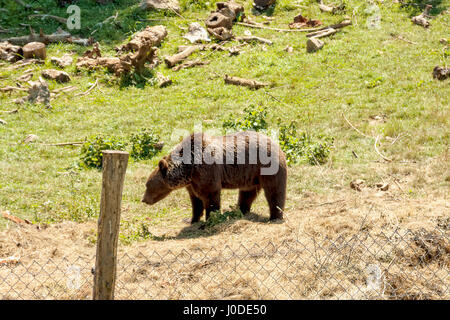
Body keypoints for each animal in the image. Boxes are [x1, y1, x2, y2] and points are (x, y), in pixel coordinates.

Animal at [142, 130, 286, 222]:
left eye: (147, 185)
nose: (143, 200)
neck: (188, 168)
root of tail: (276, 144)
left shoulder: (206, 171)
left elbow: (210, 195)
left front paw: (210, 219)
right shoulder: (192, 182)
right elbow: (195, 200)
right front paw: (191, 219)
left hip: (267, 167)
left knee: (274, 191)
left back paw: (274, 216)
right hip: (250, 175)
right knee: (247, 193)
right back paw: (239, 211)